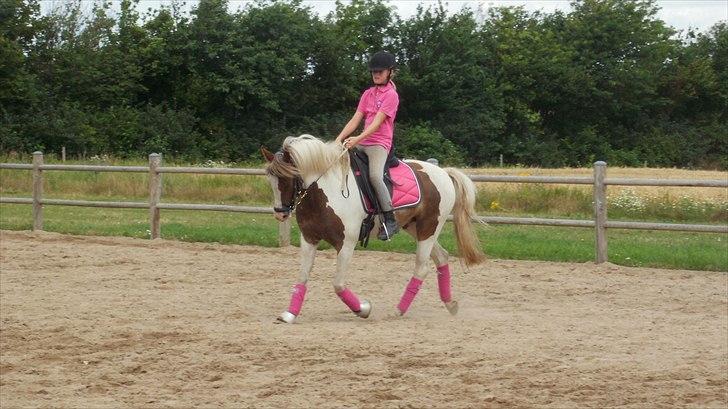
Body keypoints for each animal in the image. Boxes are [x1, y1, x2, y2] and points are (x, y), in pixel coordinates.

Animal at [262, 134, 485, 323]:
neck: (327, 192)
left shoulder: (346, 244)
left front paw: (363, 309)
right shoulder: (309, 239)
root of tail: (443, 172)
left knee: (422, 268)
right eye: (271, 180)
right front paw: (289, 314)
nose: (280, 213)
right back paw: (450, 304)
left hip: (429, 229)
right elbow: (302, 277)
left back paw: (398, 310)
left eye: (287, 178)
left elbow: (338, 285)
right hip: (415, 227)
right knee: (442, 257)